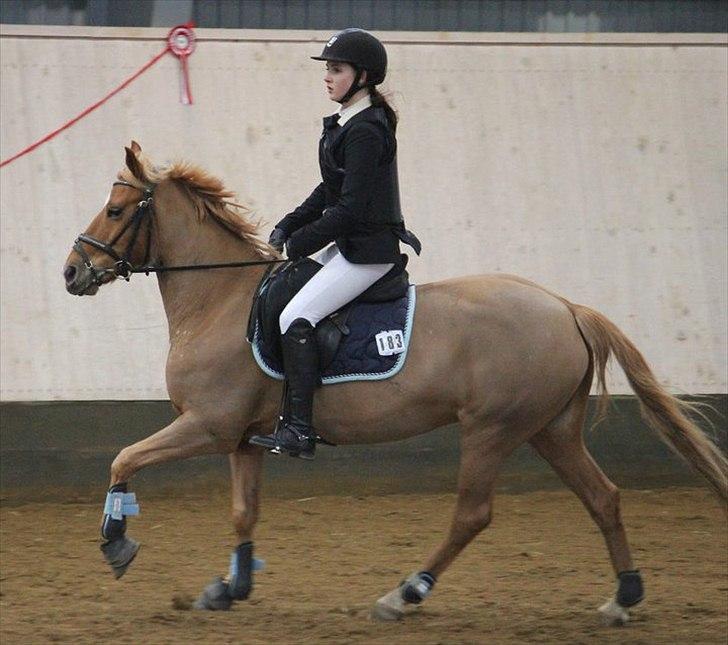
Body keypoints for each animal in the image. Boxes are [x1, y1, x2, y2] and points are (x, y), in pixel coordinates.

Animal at [63, 142, 727, 624]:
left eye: (116, 211)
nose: (73, 272)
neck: (220, 298)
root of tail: (565, 306)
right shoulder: (244, 438)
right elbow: (243, 513)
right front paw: (231, 588)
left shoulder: (207, 425)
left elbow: (124, 459)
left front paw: (116, 543)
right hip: (551, 430)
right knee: (603, 497)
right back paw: (624, 597)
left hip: (492, 429)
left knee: (472, 514)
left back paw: (404, 594)